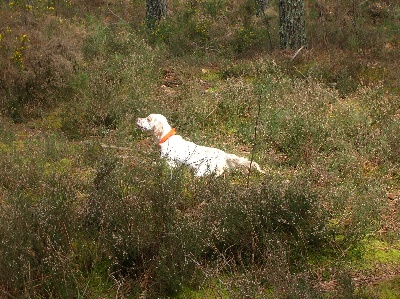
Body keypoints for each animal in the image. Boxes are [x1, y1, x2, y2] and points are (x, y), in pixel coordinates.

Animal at [136, 113, 264, 177]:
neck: (166, 137)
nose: (137, 119)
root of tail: (224, 155)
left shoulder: (170, 162)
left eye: (148, 119)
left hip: (202, 169)